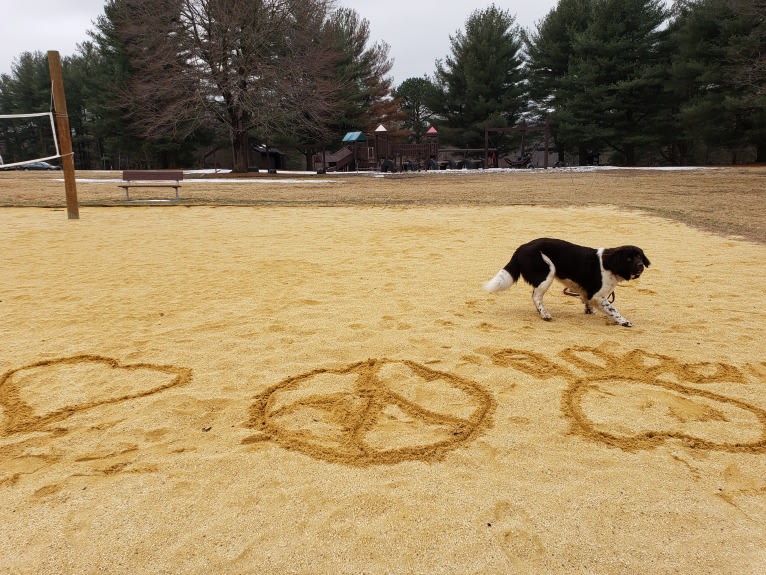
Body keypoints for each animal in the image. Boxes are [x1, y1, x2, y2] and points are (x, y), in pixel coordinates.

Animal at [484, 238, 652, 328]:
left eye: (639, 256)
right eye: (629, 259)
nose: (640, 266)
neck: (610, 264)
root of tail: (522, 248)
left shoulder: (587, 292)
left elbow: (587, 301)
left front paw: (589, 311)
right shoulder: (598, 295)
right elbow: (613, 309)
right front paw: (624, 321)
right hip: (548, 273)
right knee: (536, 296)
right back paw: (544, 314)